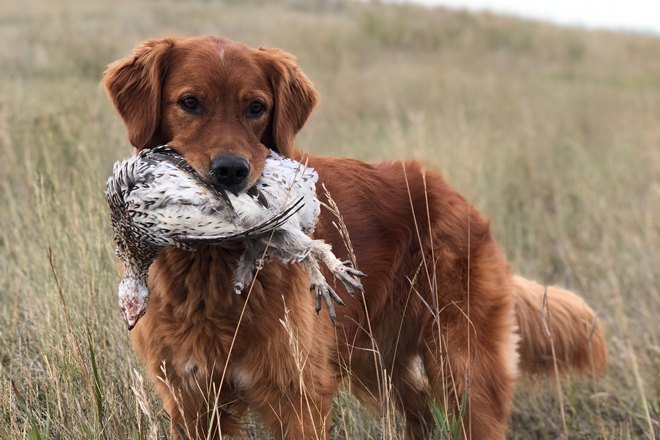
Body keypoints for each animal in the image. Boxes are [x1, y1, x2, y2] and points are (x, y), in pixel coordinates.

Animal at [103, 36, 608, 438]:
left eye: (256, 107)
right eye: (189, 103)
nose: (231, 172)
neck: (210, 264)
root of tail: (450, 192)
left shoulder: (298, 395)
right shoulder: (192, 400)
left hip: (464, 371)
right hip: (379, 364)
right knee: (420, 415)